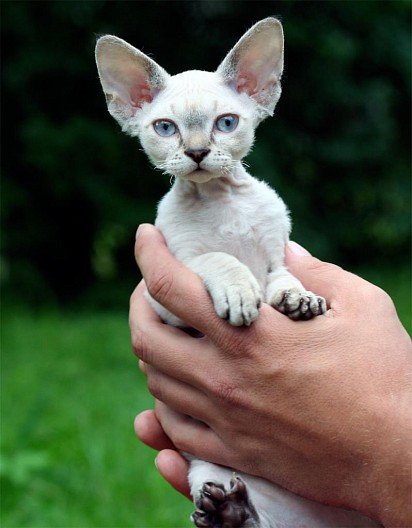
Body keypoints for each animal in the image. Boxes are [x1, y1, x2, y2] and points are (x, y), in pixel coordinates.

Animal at [95, 17, 378, 528]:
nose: (198, 152)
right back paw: (226, 509)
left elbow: (282, 275)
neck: (220, 199)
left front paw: (298, 300)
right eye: (165, 128)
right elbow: (216, 259)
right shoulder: (162, 297)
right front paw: (240, 292)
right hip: (211, 469)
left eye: (225, 123)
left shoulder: (278, 254)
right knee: (244, 514)